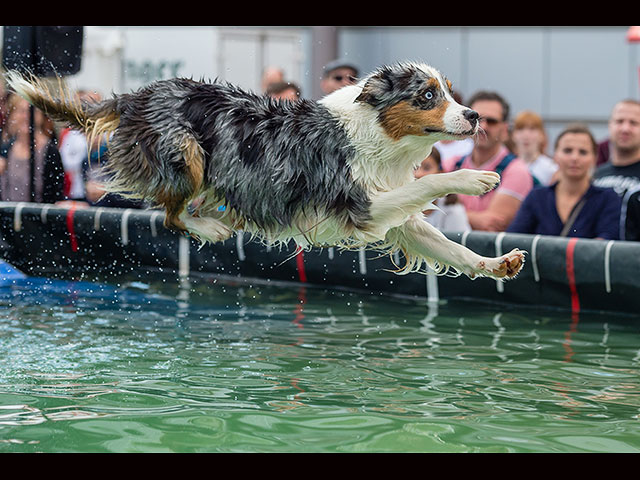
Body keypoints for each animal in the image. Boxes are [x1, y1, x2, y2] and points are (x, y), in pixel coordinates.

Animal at [6, 62, 524, 280]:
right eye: (427, 96)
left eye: (451, 92)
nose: (475, 115)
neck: (378, 133)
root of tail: (134, 97)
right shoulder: (359, 205)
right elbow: (429, 180)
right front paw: (473, 179)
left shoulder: (392, 216)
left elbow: (447, 246)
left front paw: (495, 263)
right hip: (185, 153)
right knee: (170, 215)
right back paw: (212, 227)